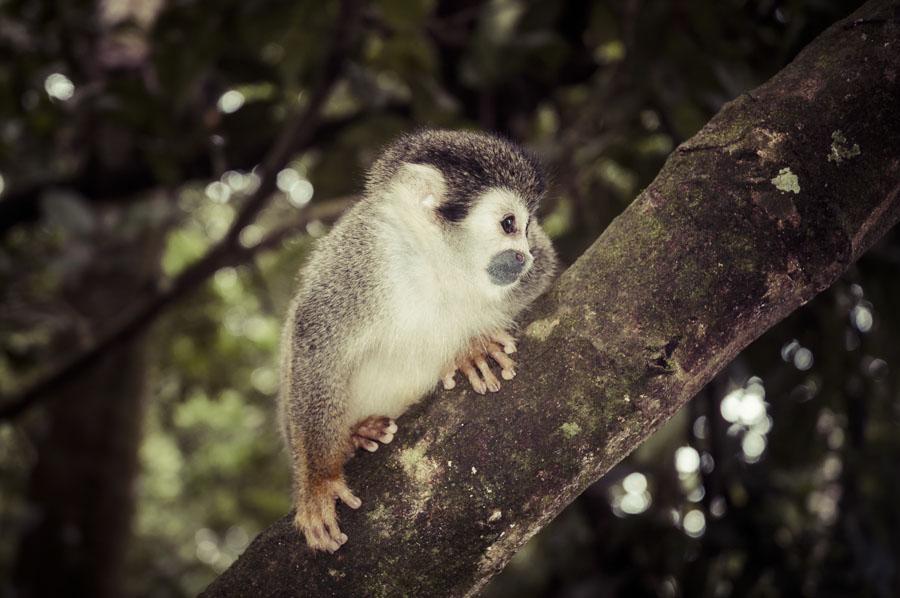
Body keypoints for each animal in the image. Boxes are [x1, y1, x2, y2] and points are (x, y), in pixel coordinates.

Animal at [282, 130, 560, 552]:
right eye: (509, 223)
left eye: (528, 229)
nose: (523, 255)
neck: (435, 262)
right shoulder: (361, 259)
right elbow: (315, 344)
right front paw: (318, 482)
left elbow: (543, 270)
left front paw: (472, 348)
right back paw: (356, 436)